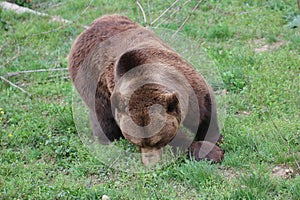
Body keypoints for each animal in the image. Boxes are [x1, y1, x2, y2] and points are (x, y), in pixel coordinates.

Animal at [67, 14, 223, 166]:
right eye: (136, 142)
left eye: (158, 140)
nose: (150, 164)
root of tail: (87, 29)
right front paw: (206, 151)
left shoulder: (190, 88)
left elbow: (205, 111)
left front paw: (213, 143)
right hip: (92, 82)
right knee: (103, 117)